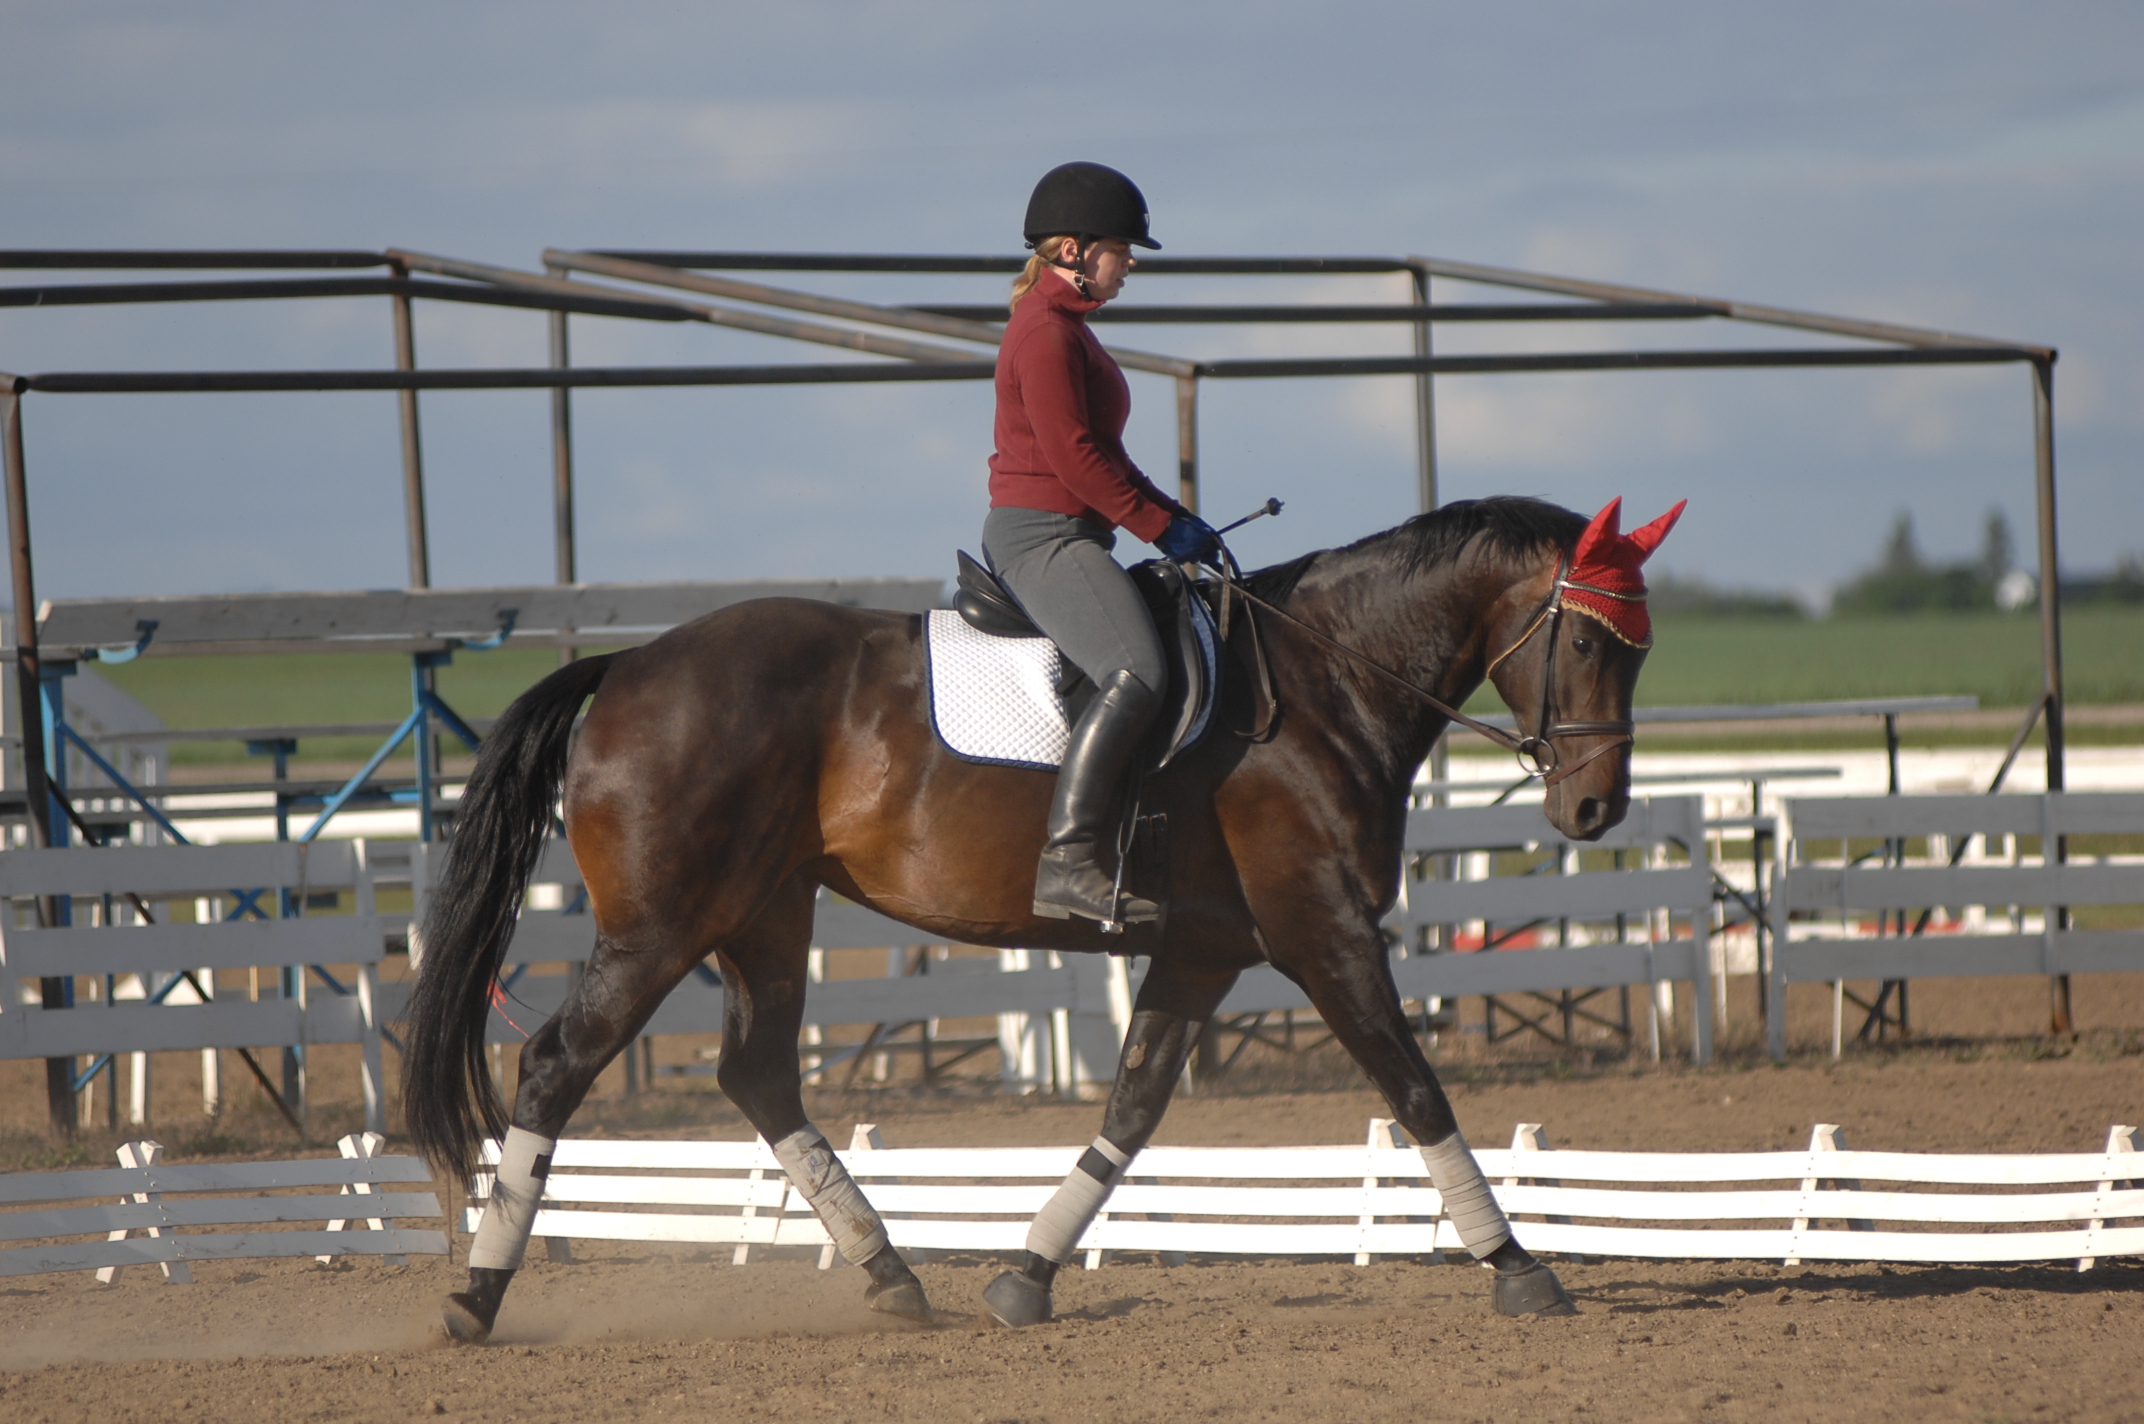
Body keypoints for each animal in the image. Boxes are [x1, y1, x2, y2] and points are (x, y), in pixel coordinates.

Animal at [403, 495, 1672, 1338]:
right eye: (1586, 637)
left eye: (1641, 645)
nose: (1594, 808)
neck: (1323, 685)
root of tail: (627, 667)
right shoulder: (1323, 931)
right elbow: (1415, 1089)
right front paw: (1518, 1265)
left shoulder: (1201, 948)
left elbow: (1133, 1106)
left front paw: (1026, 1273)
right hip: (662, 925)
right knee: (557, 1063)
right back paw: (475, 1294)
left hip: (763, 911)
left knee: (758, 1072)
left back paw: (893, 1276)